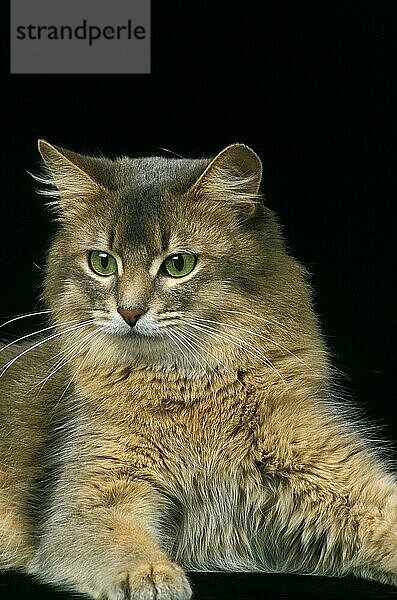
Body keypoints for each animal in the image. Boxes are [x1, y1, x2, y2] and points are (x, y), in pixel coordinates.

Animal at [0, 142, 396, 600]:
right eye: (102, 262)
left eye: (178, 264)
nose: (129, 311)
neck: (192, 392)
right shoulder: (87, 503)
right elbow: (122, 541)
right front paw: (150, 574)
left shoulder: (336, 476)